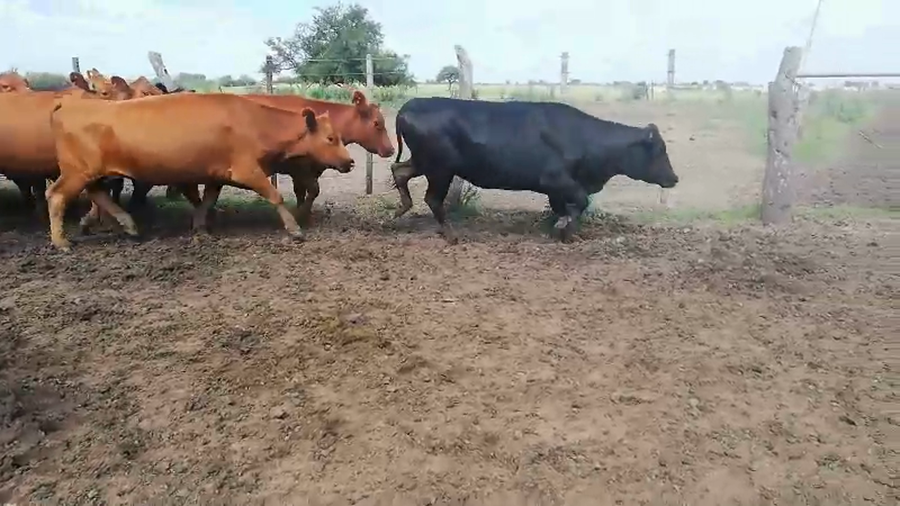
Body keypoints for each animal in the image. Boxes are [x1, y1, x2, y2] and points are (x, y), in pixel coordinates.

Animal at [46, 93, 355, 251]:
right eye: (330, 138)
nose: (350, 162)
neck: (255, 121)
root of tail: (69, 104)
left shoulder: (217, 175)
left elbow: (207, 200)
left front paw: (200, 227)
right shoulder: (247, 171)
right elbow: (275, 196)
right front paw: (294, 229)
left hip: (90, 173)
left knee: (97, 194)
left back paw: (129, 226)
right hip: (76, 172)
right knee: (57, 196)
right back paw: (61, 241)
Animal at [125, 89, 394, 226]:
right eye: (377, 123)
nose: (391, 150)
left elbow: (306, 192)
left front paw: (303, 213)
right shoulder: (299, 168)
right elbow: (310, 191)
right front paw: (300, 216)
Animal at [390, 97, 679, 243]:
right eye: (659, 150)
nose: (674, 178)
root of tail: (409, 105)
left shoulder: (556, 189)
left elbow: (565, 207)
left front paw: (562, 230)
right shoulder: (555, 179)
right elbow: (580, 202)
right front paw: (564, 229)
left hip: (424, 162)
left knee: (399, 170)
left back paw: (401, 208)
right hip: (440, 168)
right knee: (432, 198)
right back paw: (451, 235)